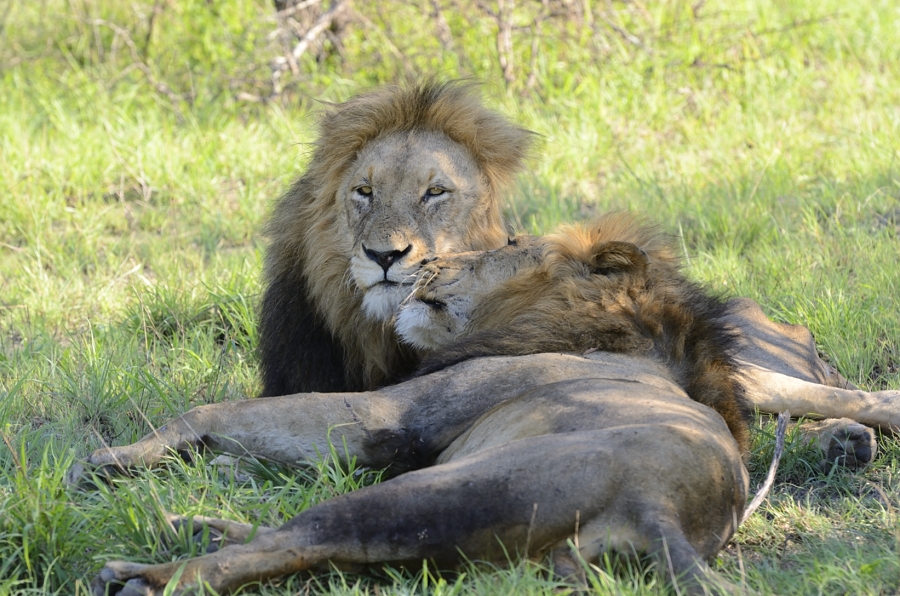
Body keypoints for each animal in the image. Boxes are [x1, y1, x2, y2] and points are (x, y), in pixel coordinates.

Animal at [88, 214, 753, 596]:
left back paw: (143, 576)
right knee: (310, 550)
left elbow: (215, 412)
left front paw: (116, 456)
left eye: (510, 244)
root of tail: (661, 507)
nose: (420, 260)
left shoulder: (397, 414)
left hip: (442, 492)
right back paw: (191, 526)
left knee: (298, 540)